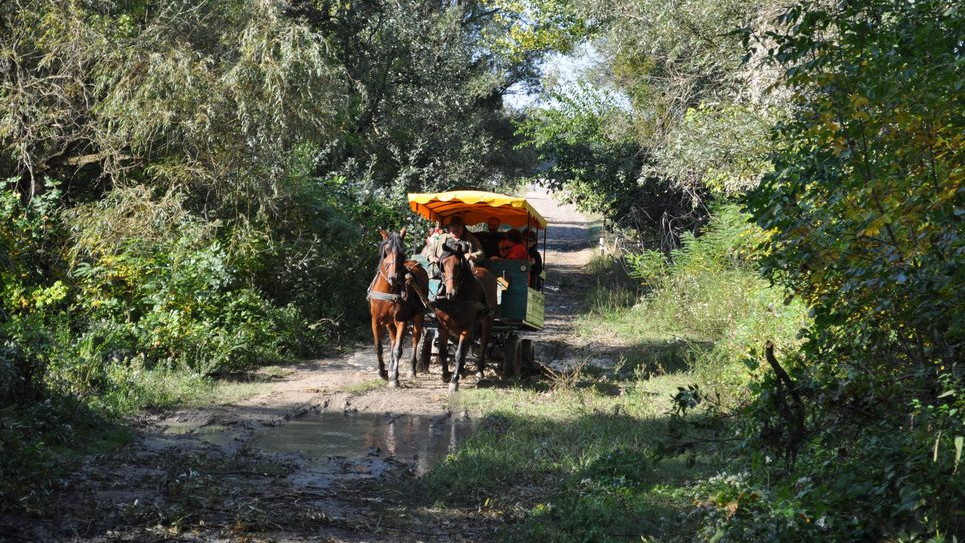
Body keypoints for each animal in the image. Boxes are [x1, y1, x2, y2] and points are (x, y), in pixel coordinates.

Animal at [368, 227, 428, 388]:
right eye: (386, 251)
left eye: (402, 252)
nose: (393, 277)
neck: (388, 291)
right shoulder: (375, 321)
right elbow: (379, 347)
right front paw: (383, 372)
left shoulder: (402, 321)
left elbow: (398, 350)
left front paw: (394, 378)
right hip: (389, 322)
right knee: (393, 339)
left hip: (419, 315)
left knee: (415, 339)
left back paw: (411, 369)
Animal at [436, 244, 498, 394]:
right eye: (443, 264)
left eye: (459, 266)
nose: (450, 293)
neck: (455, 301)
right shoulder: (442, 326)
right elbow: (443, 350)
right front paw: (446, 374)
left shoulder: (466, 328)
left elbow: (459, 353)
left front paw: (454, 381)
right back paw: (462, 370)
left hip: (487, 321)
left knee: (483, 344)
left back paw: (479, 370)